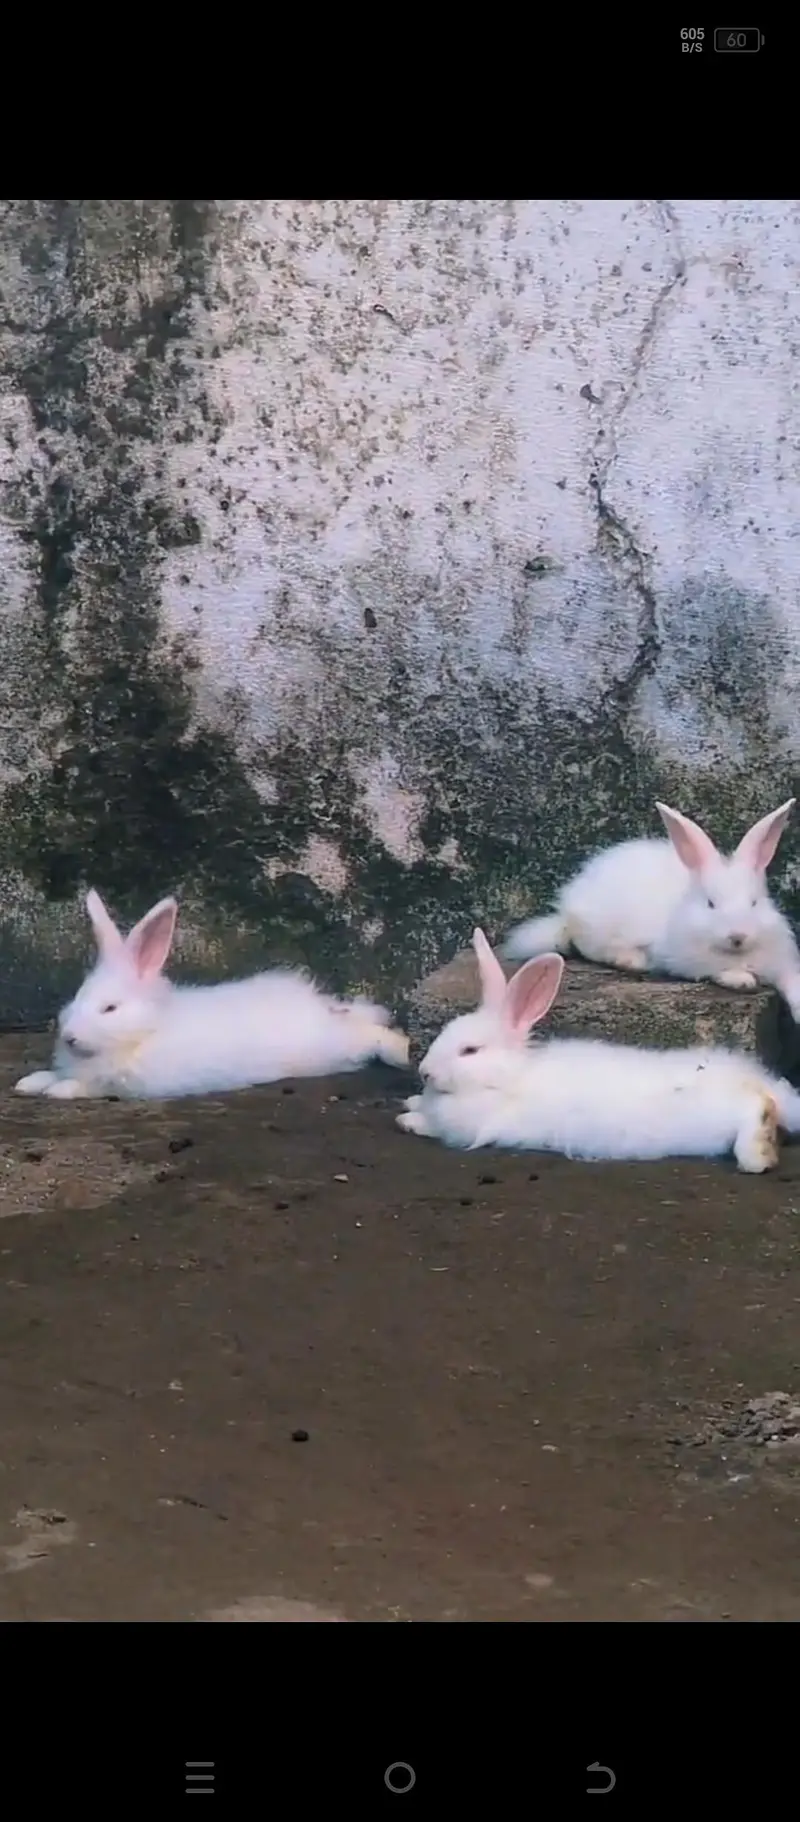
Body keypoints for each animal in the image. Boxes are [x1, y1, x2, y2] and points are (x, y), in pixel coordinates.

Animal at [14, 888, 409, 1101]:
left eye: (110, 1008)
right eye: (75, 998)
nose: (69, 1037)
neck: (145, 1031)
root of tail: (318, 1007)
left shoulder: (124, 1084)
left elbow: (83, 1086)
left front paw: (58, 1090)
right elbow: (51, 1075)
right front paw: (29, 1083)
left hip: (333, 1046)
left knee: (372, 1035)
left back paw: (400, 1053)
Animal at [396, 927, 800, 1172]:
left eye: (470, 1050)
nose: (425, 1072)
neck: (506, 1079)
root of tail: (760, 1080)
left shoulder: (468, 1127)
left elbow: (433, 1126)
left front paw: (408, 1120)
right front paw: (411, 1103)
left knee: (757, 1109)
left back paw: (757, 1155)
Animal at [503, 798, 800, 1019]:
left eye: (754, 902)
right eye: (711, 903)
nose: (738, 936)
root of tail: (568, 907)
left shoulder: (783, 962)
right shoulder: (686, 961)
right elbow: (718, 970)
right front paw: (742, 979)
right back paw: (632, 960)